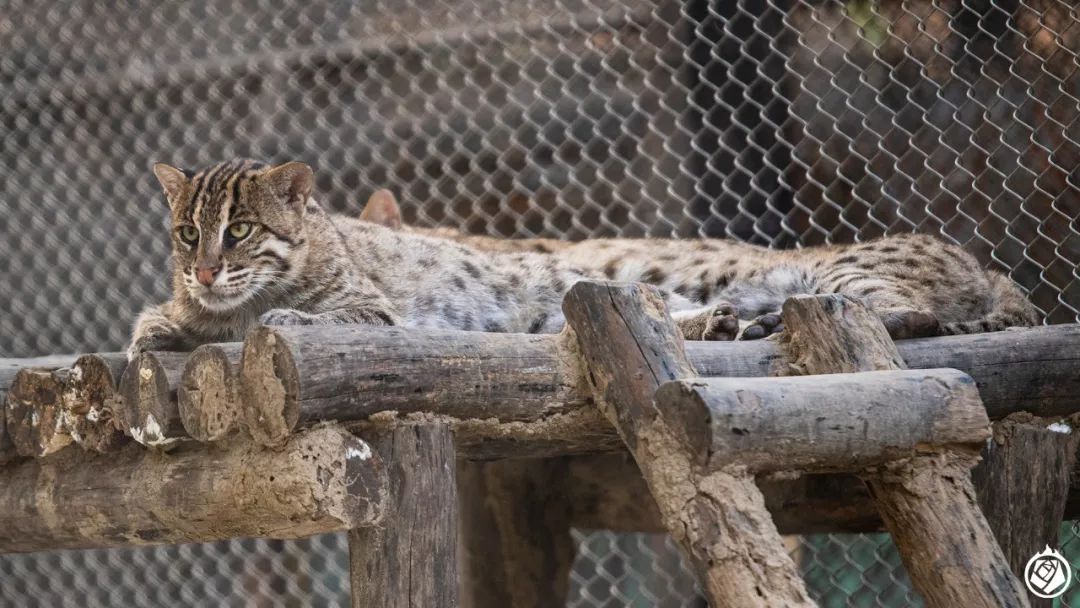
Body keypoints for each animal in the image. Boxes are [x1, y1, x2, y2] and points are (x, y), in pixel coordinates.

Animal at [124, 156, 734, 358]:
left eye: (240, 230)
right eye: (187, 232)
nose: (204, 270)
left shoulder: (377, 311)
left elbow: (322, 317)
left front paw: (283, 317)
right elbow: (156, 318)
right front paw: (153, 334)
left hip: (569, 283)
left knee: (653, 301)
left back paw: (718, 320)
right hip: (547, 319)